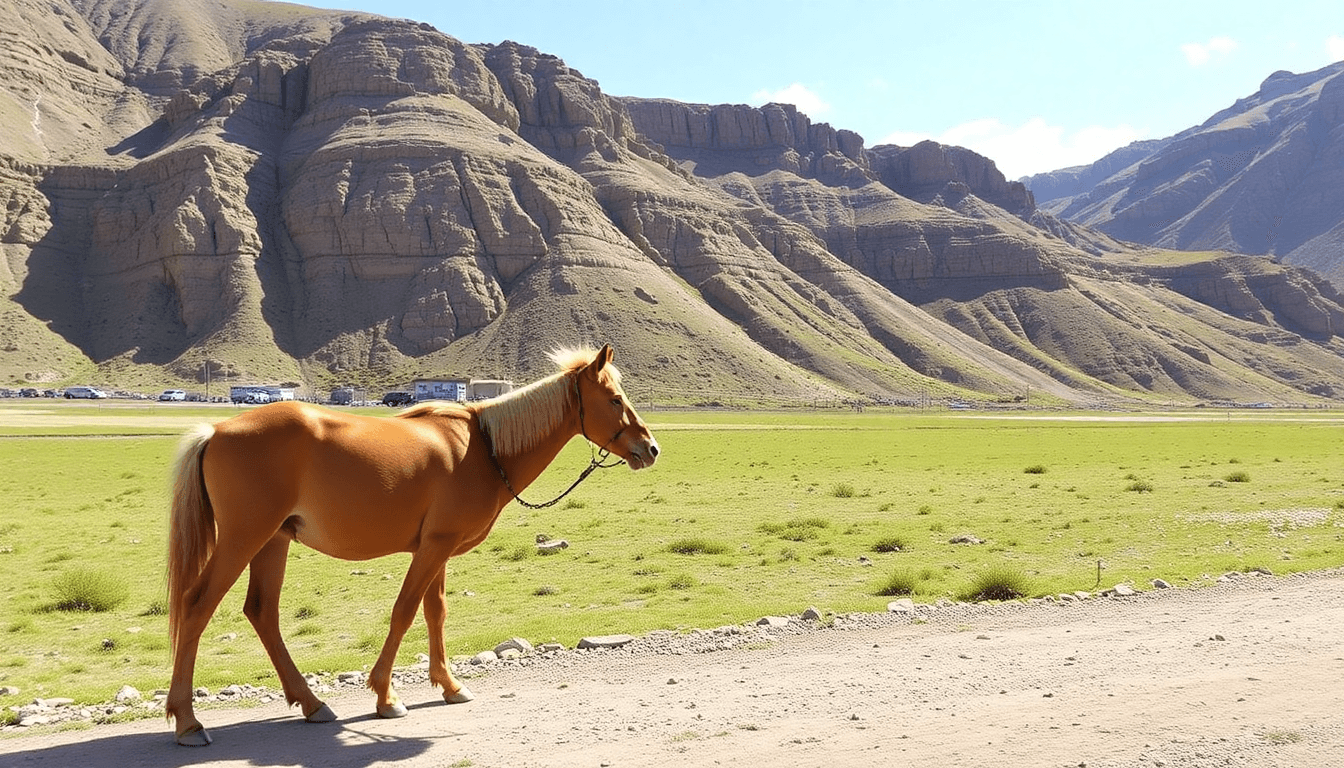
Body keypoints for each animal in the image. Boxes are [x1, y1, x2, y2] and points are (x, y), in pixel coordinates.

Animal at [165, 344, 658, 747]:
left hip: (273, 541)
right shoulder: (433, 547)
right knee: (197, 605)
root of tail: (216, 432)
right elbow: (405, 610)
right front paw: (386, 695)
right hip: (244, 538)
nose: (650, 448)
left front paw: (450, 685)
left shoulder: (438, 548)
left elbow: (434, 611)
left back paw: (311, 703)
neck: (483, 449)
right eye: (614, 400)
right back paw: (188, 722)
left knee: (262, 612)